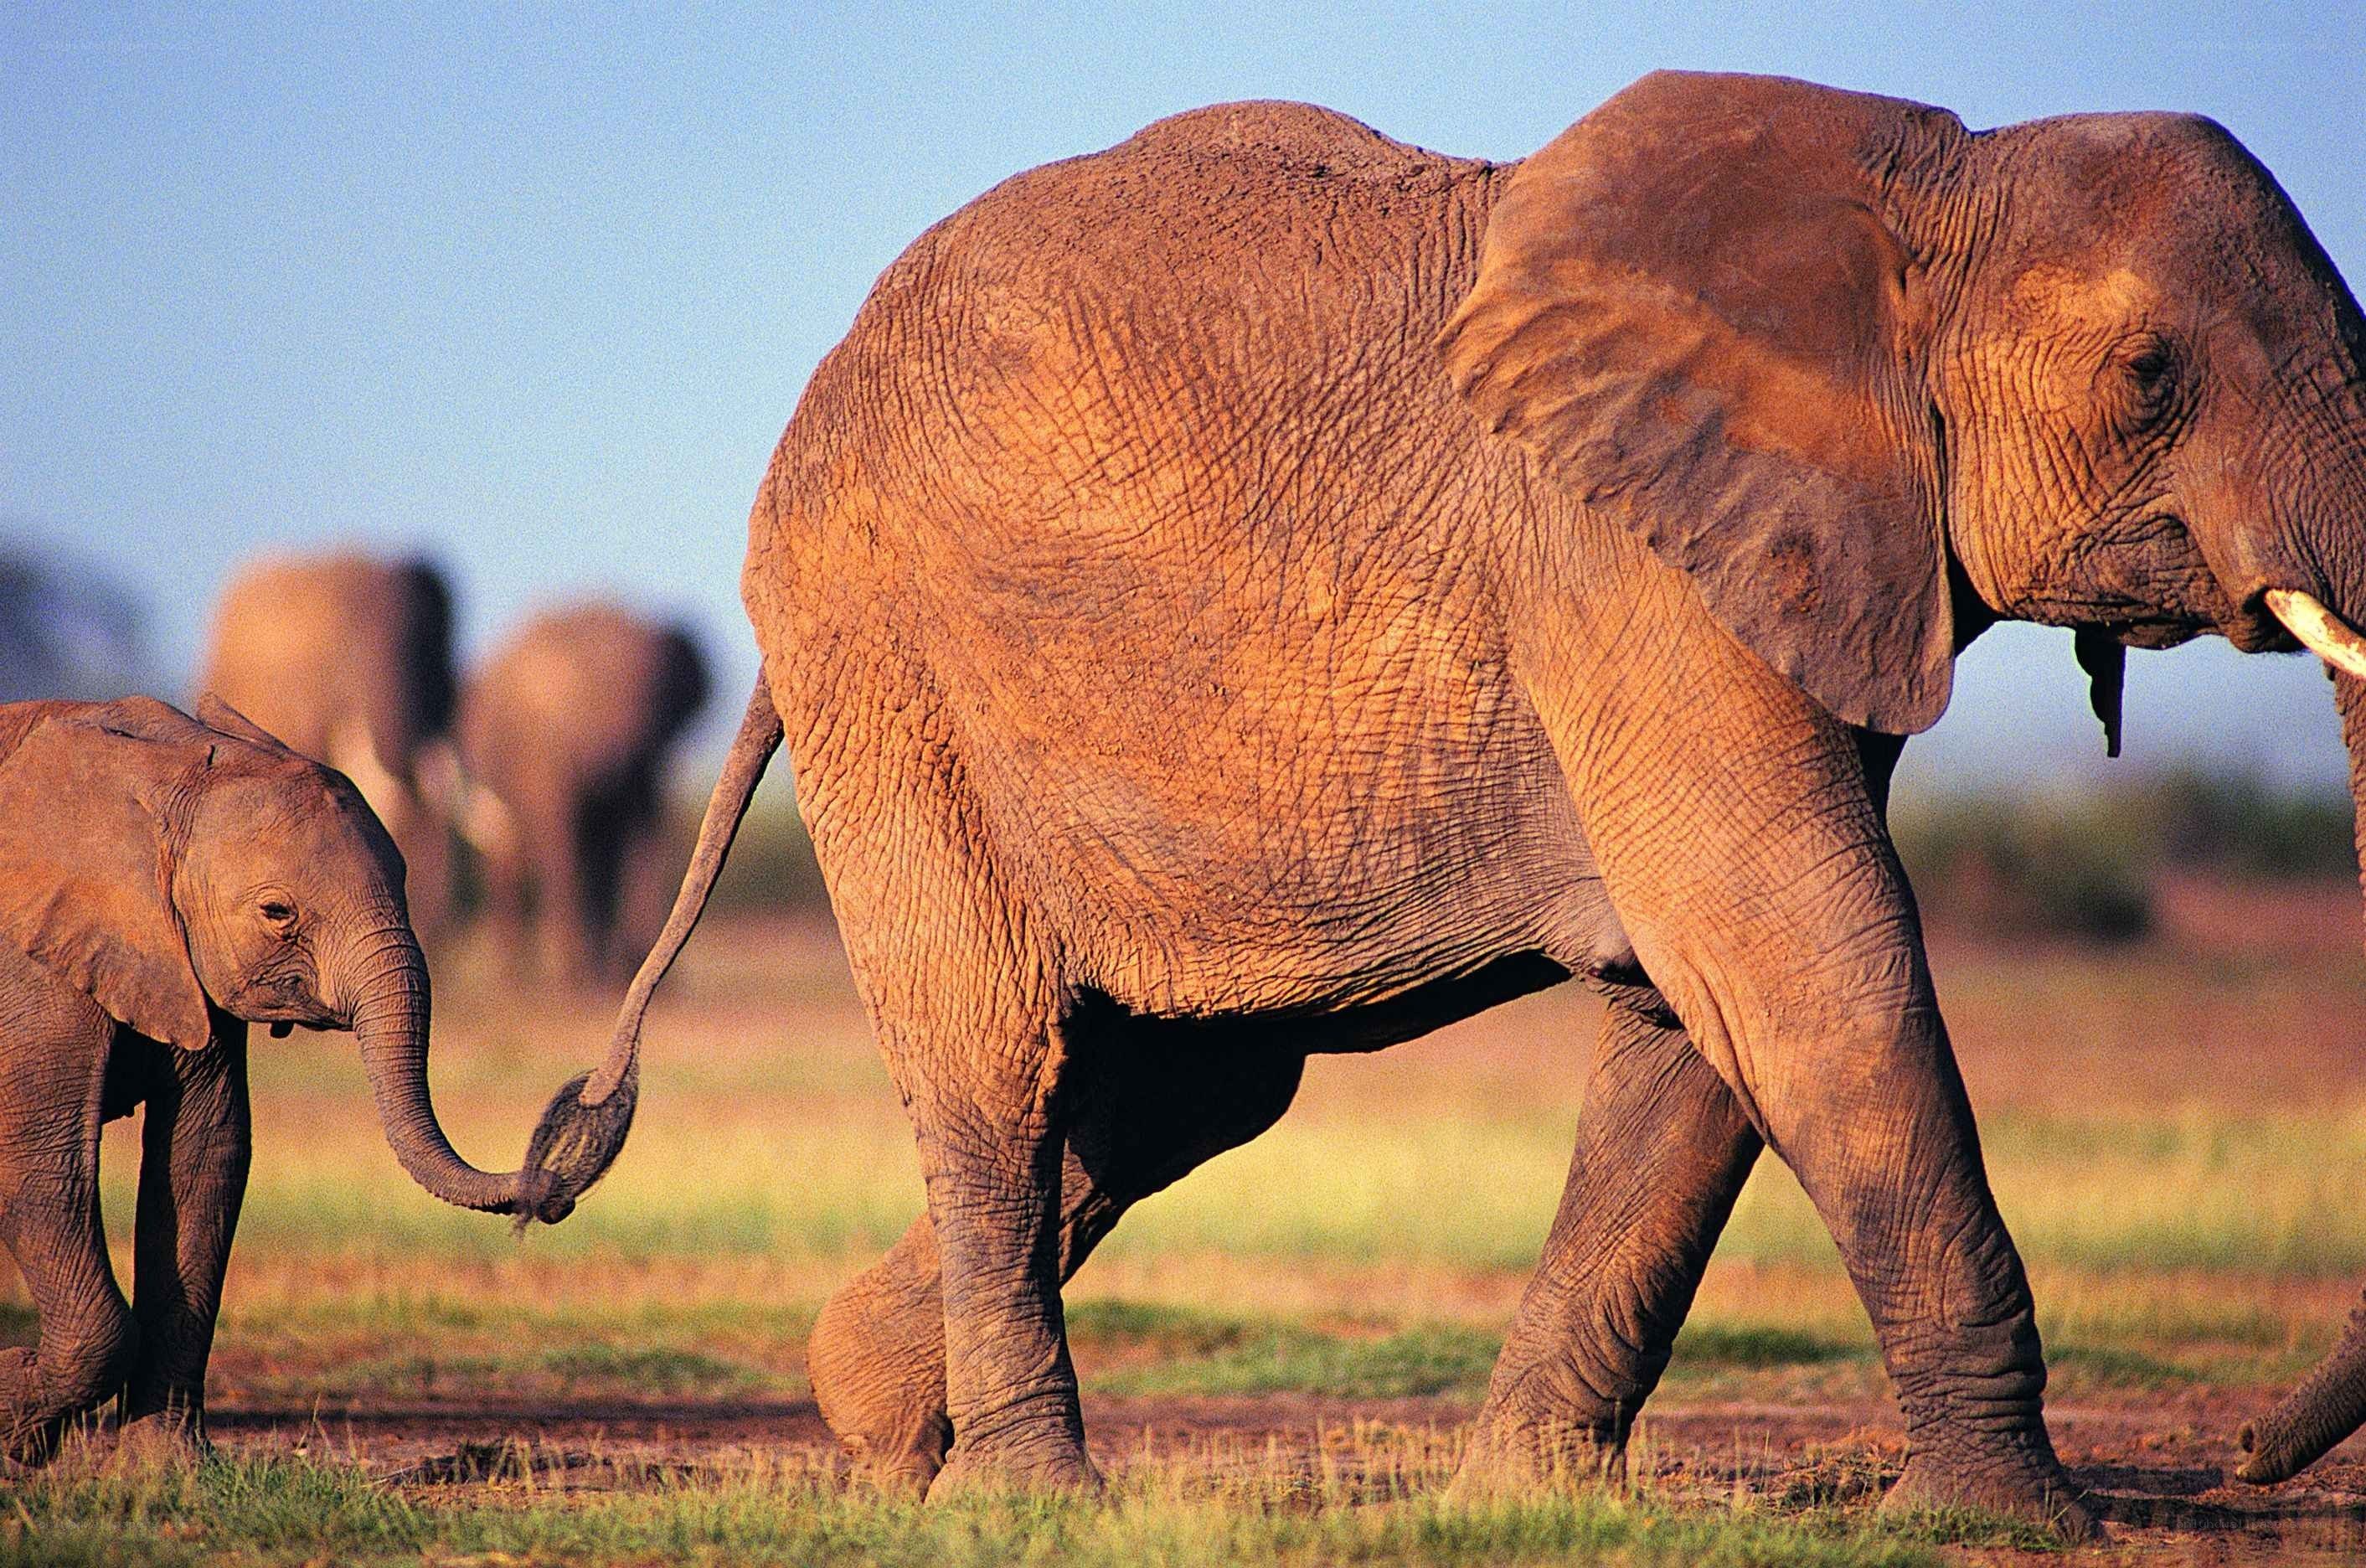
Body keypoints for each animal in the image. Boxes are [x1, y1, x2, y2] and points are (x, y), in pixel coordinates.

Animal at [0, 694, 563, 1463]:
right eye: (277, 912)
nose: (558, 1184)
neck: (164, 774)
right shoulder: (33, 970)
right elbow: (43, 1164)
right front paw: (14, 1416)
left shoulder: (185, 964)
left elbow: (204, 1157)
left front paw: (167, 1471)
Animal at [457, 605, 710, 986]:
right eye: (571, 710)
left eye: (653, 703)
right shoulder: (543, 746)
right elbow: (575, 843)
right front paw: (581, 982)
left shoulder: (646, 753)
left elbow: (636, 835)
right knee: (520, 857)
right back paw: (527, 981)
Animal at [516, 72, 2366, 1534]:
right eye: (2149, 375)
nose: (2238, 1461)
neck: (1933, 172)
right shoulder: (1623, 562)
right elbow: (1798, 949)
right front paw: (2002, 1522)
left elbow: (1701, 1013)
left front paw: (1525, 1504)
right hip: (881, 659)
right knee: (996, 1064)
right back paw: (1025, 1499)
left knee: (1174, 1092)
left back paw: (880, 1423)